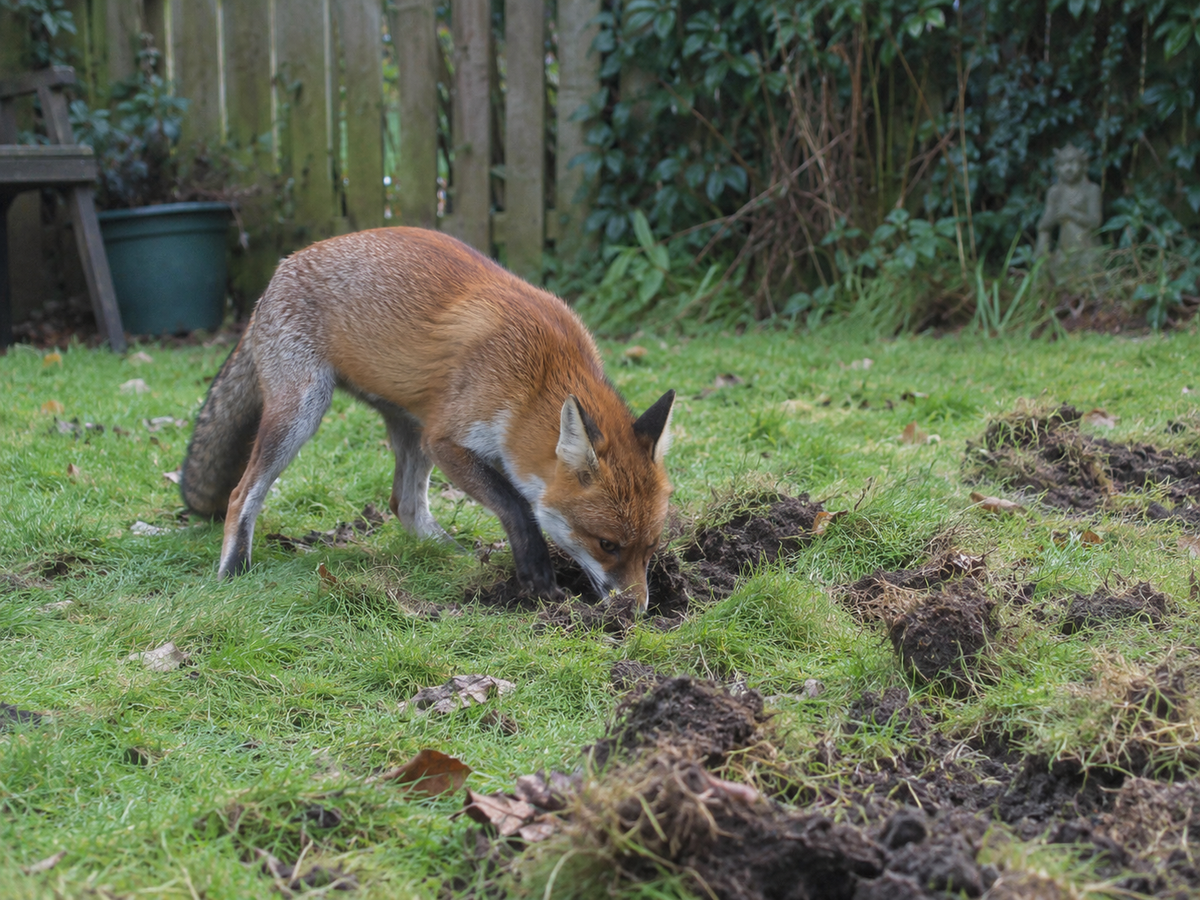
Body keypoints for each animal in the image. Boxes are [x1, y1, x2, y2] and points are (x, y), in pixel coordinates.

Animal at [180, 227, 675, 613]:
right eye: (607, 544)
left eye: (650, 548)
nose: (636, 612)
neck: (538, 378)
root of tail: (281, 268)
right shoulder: (447, 440)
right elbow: (516, 503)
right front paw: (536, 573)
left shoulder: (444, 437)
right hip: (303, 411)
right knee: (242, 492)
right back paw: (233, 570)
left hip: (410, 424)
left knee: (406, 505)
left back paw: (458, 559)